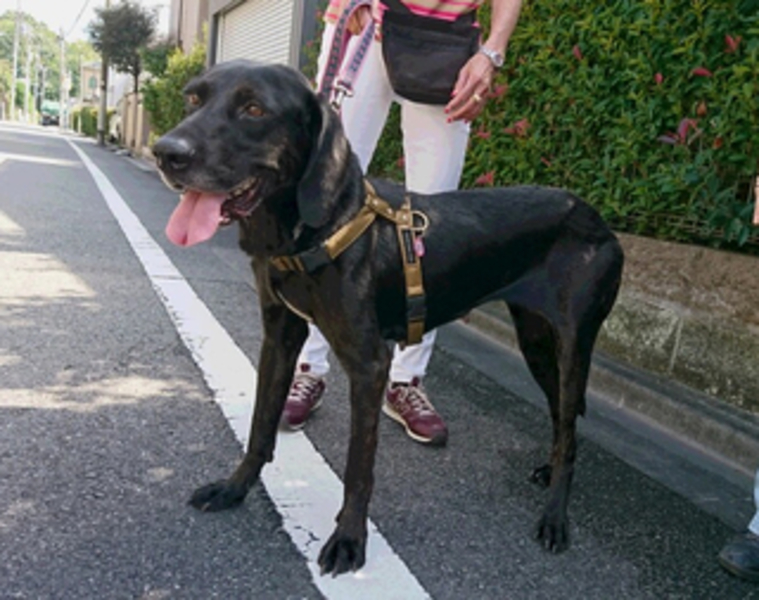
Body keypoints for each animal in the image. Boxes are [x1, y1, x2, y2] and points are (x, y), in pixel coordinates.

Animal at [152, 59, 624, 576]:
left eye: (254, 109)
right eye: (192, 99)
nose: (165, 152)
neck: (317, 228)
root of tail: (598, 219)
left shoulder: (369, 364)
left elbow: (358, 466)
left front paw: (349, 539)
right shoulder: (279, 336)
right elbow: (260, 427)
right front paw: (235, 488)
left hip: (573, 345)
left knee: (570, 430)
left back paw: (555, 518)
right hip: (535, 341)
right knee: (563, 420)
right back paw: (547, 469)